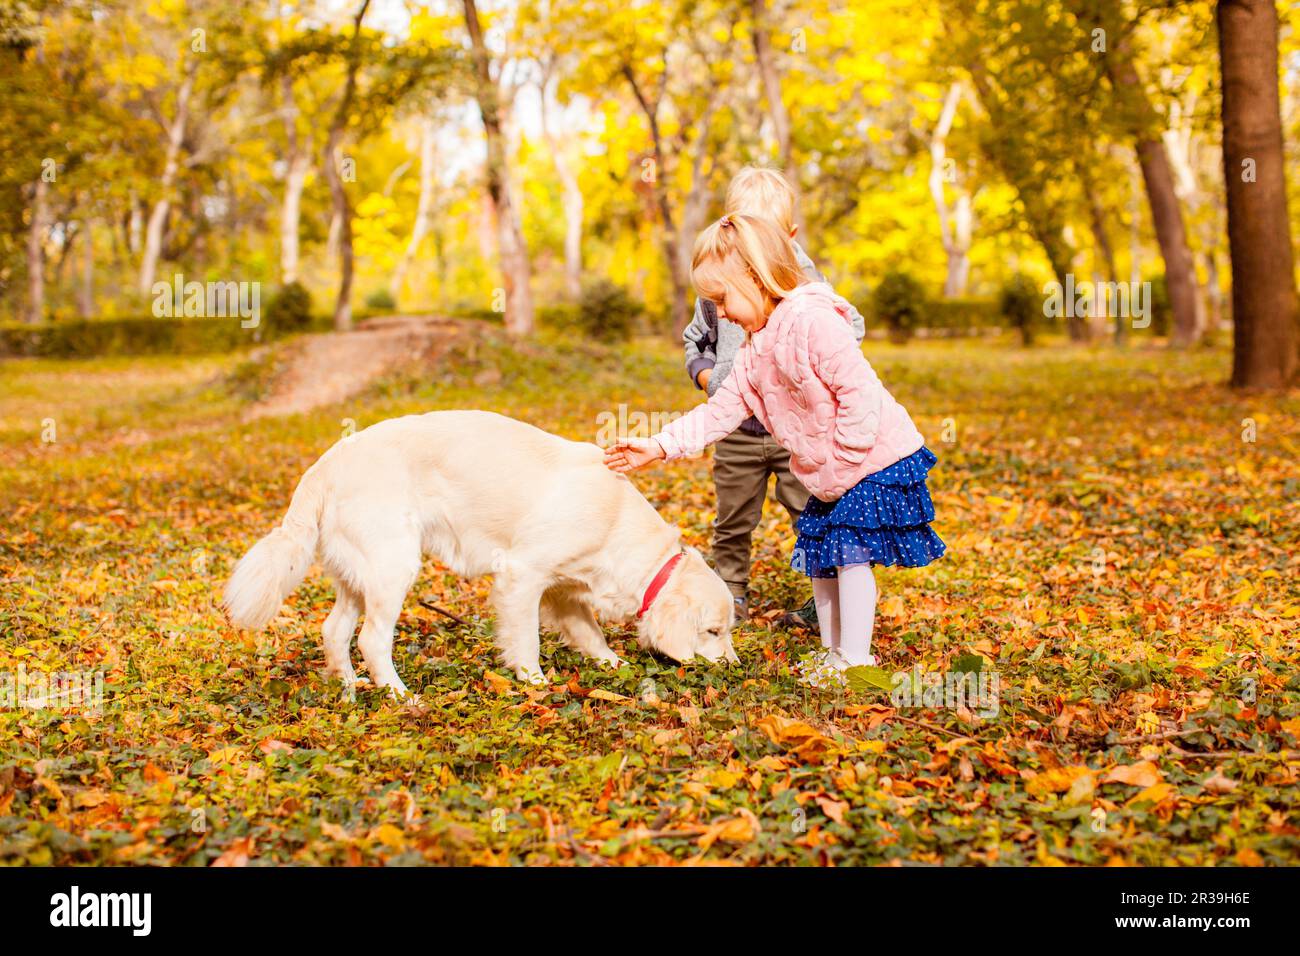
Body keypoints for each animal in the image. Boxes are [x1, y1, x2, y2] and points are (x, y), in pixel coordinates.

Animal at [220, 411, 733, 697]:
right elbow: (526, 640)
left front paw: (612, 664)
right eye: (713, 631)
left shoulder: (565, 592)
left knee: (334, 631)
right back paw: (399, 694)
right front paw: (534, 681)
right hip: (393, 567)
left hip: (358, 576)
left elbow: (589, 634)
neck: (615, 521)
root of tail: (324, 465)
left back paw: (349, 685)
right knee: (371, 640)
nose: (735, 666)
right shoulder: (523, 576)